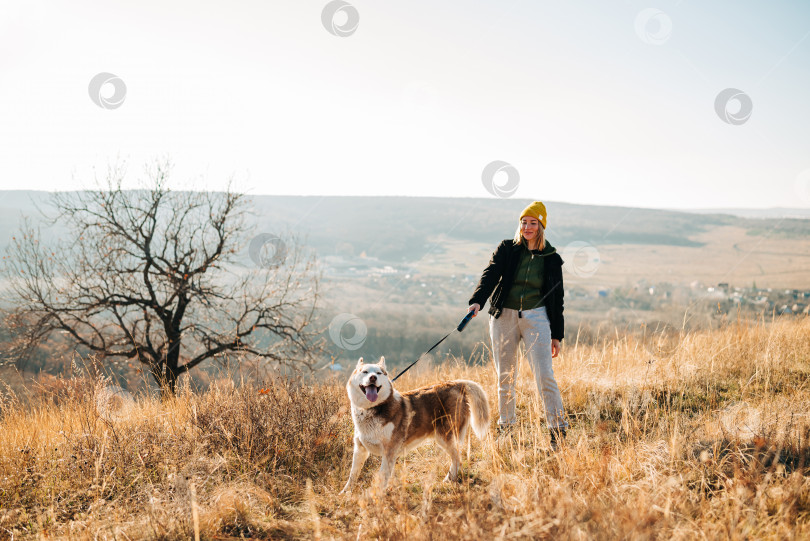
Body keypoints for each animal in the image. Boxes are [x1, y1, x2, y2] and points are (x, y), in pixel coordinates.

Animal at [340, 356, 490, 492]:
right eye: (365, 372)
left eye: (379, 373)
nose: (372, 378)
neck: (371, 409)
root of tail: (456, 384)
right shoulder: (360, 450)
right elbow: (353, 475)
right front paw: (345, 493)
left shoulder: (389, 451)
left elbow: (382, 476)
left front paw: (376, 496)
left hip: (445, 436)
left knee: (457, 457)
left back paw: (450, 478)